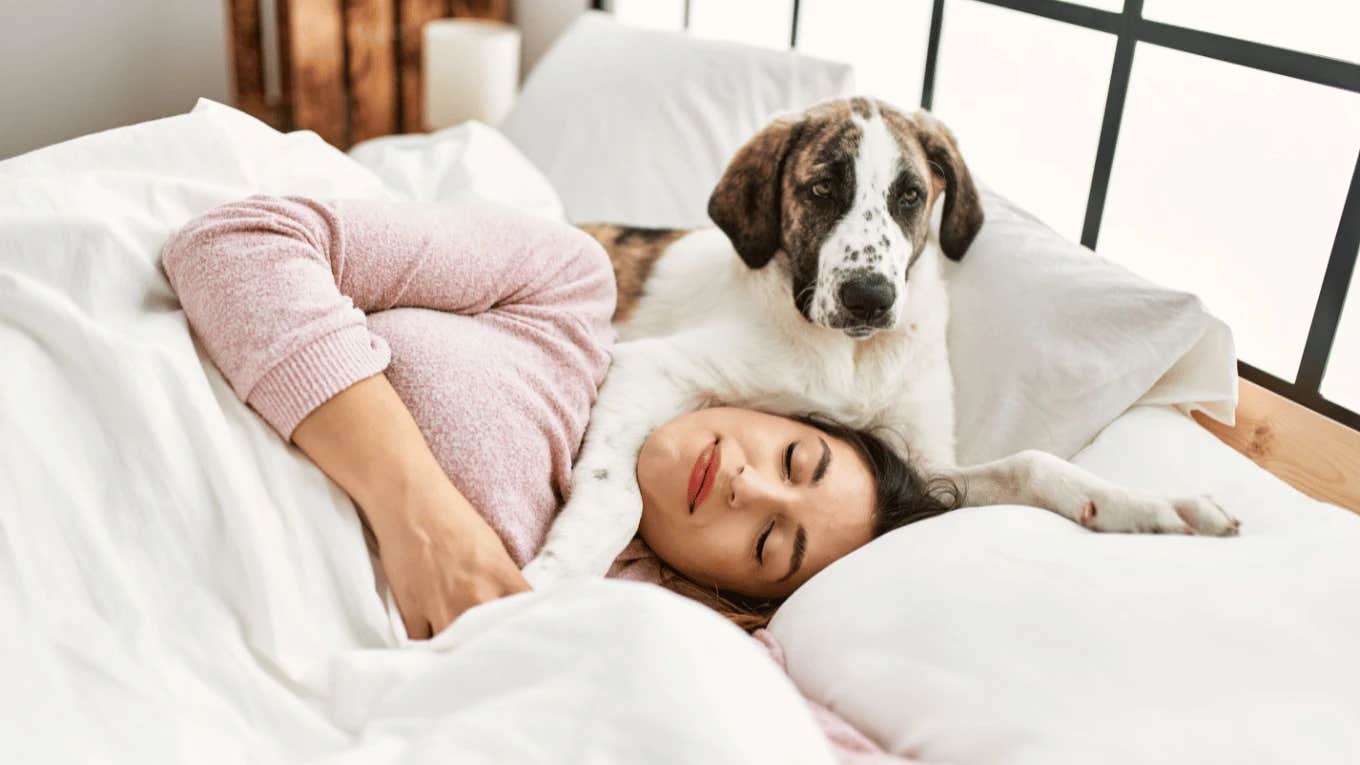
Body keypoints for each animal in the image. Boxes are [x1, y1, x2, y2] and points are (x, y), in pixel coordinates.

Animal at [522, 96, 1245, 582]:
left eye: (910, 195)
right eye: (821, 189)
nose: (868, 296)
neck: (852, 358)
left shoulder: (925, 465)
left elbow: (1033, 463)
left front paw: (1153, 505)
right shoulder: (649, 366)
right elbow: (614, 494)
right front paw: (550, 579)